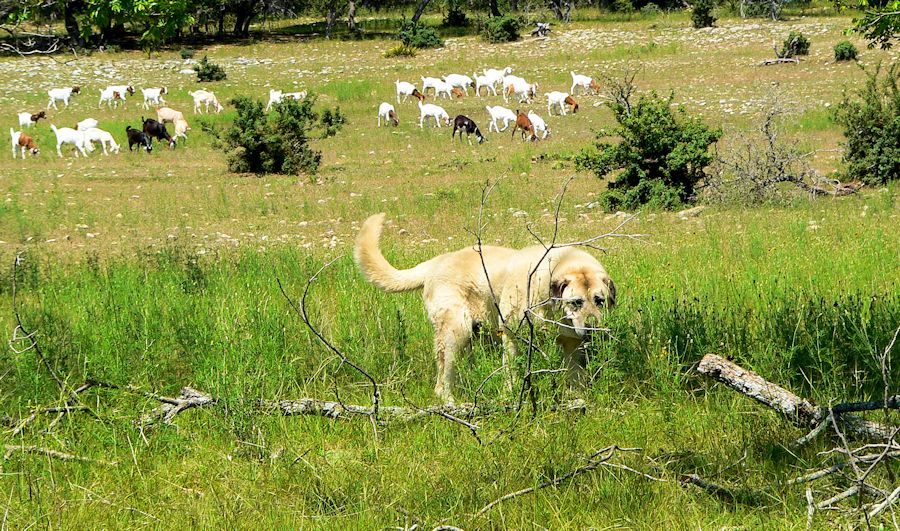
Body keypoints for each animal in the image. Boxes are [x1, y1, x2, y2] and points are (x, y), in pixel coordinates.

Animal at [356, 213, 616, 404]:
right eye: (576, 302)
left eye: (600, 300)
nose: (593, 328)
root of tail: (437, 261)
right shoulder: (512, 335)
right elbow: (511, 372)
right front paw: (511, 395)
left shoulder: (572, 343)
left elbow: (575, 374)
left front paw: (578, 399)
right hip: (456, 330)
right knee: (444, 378)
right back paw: (451, 402)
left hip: (472, 334)